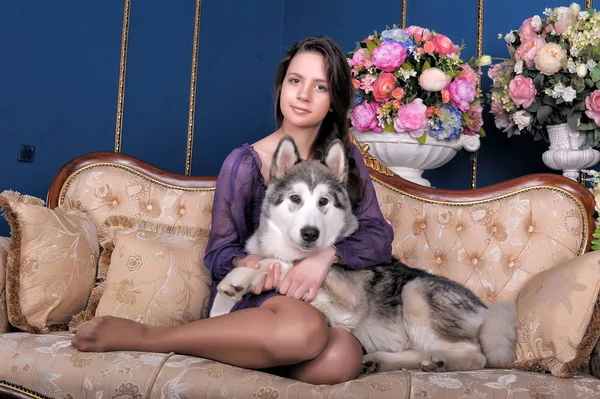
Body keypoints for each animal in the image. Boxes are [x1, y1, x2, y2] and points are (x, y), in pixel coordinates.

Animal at [210, 138, 516, 376]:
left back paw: (440, 362)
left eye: (323, 201)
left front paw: (240, 278)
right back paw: (376, 361)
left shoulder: (345, 304)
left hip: (416, 292)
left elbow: (285, 264)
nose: (310, 233)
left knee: (476, 355)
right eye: (295, 199)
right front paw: (224, 302)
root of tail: (486, 308)